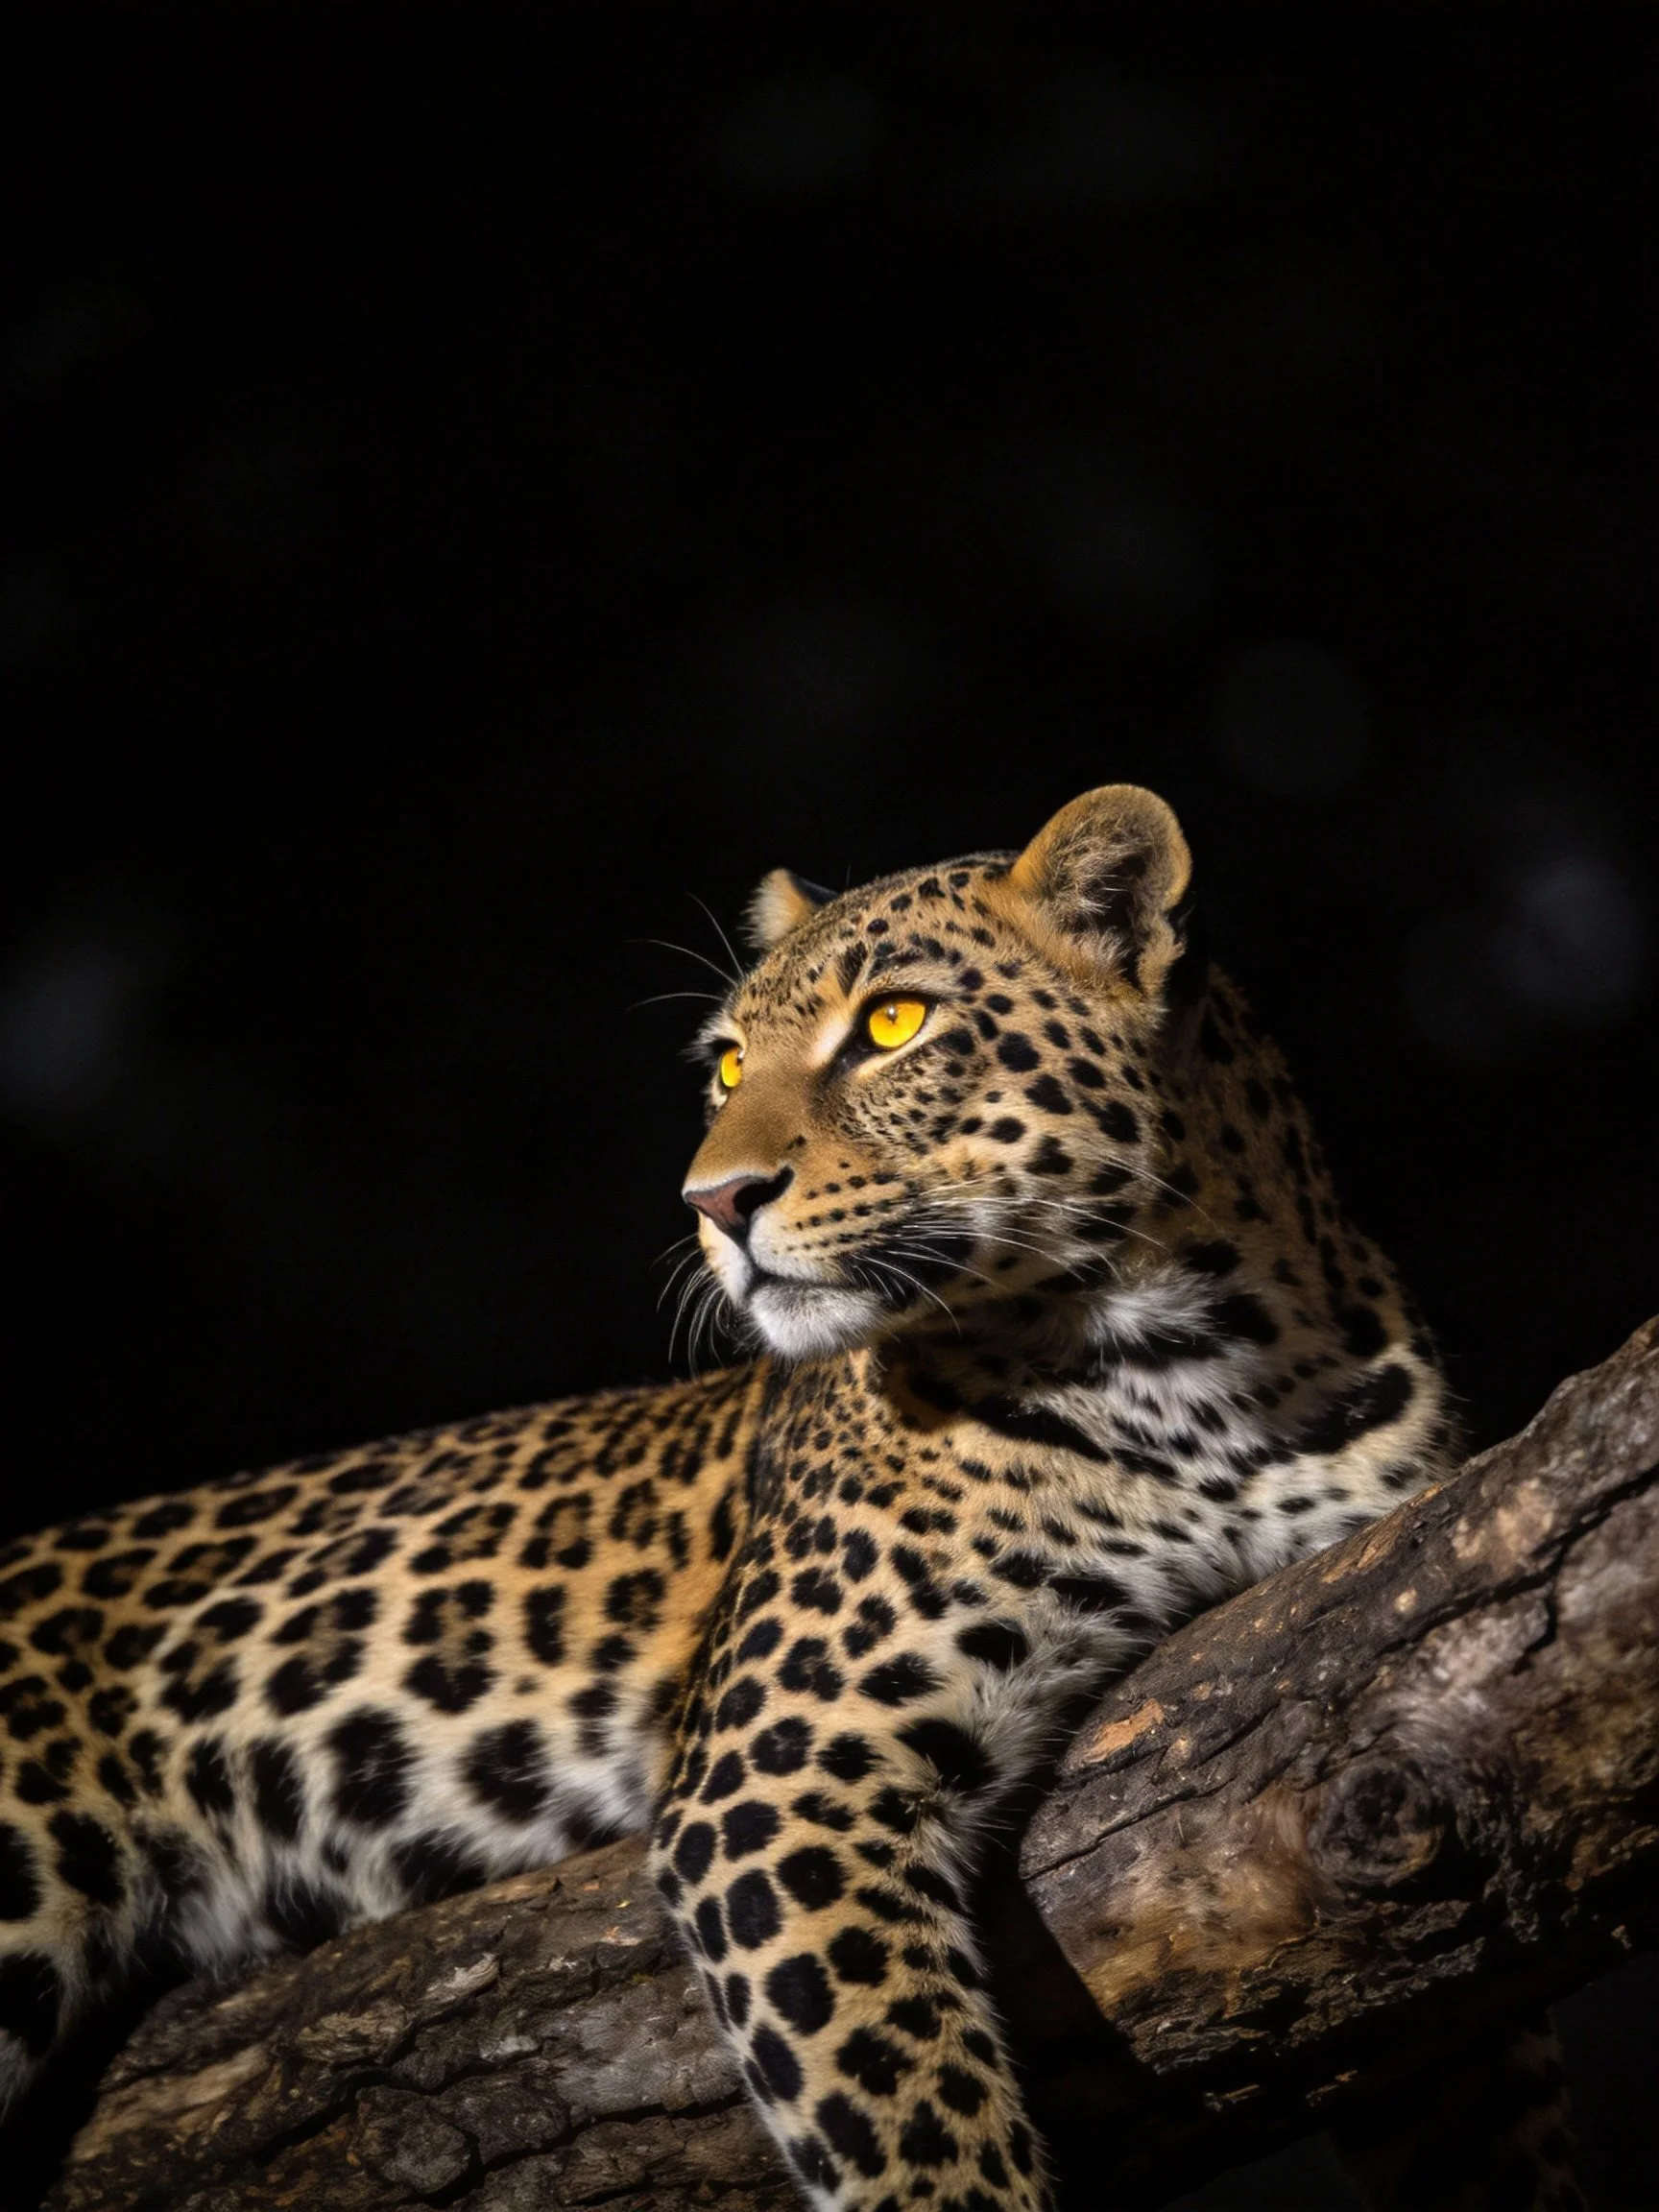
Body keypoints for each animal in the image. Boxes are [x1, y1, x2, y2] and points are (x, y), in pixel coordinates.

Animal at [0, 783, 1561, 2210]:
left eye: (893, 1026)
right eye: (730, 1061)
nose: (713, 1202)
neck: (1199, 1370)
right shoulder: (776, 1777)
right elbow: (919, 2136)